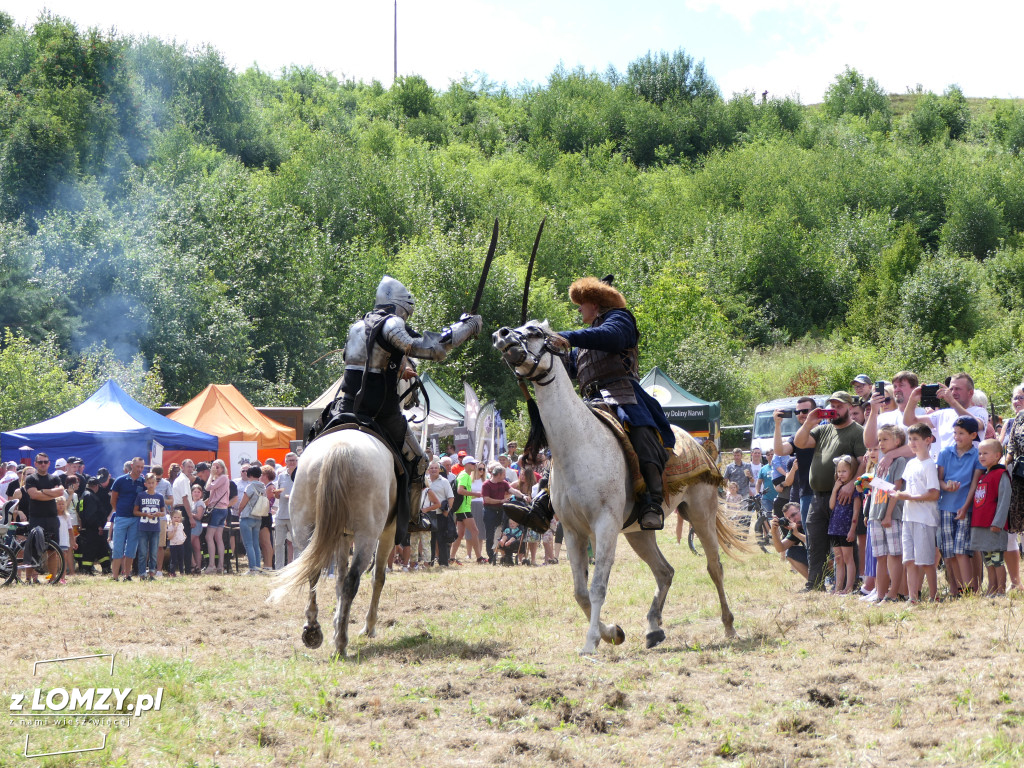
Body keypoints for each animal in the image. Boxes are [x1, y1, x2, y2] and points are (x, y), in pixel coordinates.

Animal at [270, 430, 397, 659]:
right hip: (367, 534)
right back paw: (341, 643)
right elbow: (377, 578)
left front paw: (337, 621)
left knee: (313, 573)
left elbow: (338, 577)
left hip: (305, 528)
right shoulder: (388, 530)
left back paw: (313, 629)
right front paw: (368, 627)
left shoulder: (342, 535)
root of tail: (339, 450)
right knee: (352, 582)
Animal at [493, 321, 745, 651]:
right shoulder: (573, 532)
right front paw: (611, 633)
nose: (502, 335)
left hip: (700, 514)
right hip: (640, 532)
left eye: (534, 331)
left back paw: (728, 626)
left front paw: (591, 643)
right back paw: (653, 629)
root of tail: (700, 445)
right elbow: (580, 592)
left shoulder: (604, 526)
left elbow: (597, 587)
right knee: (664, 571)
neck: (579, 442)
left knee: (714, 567)